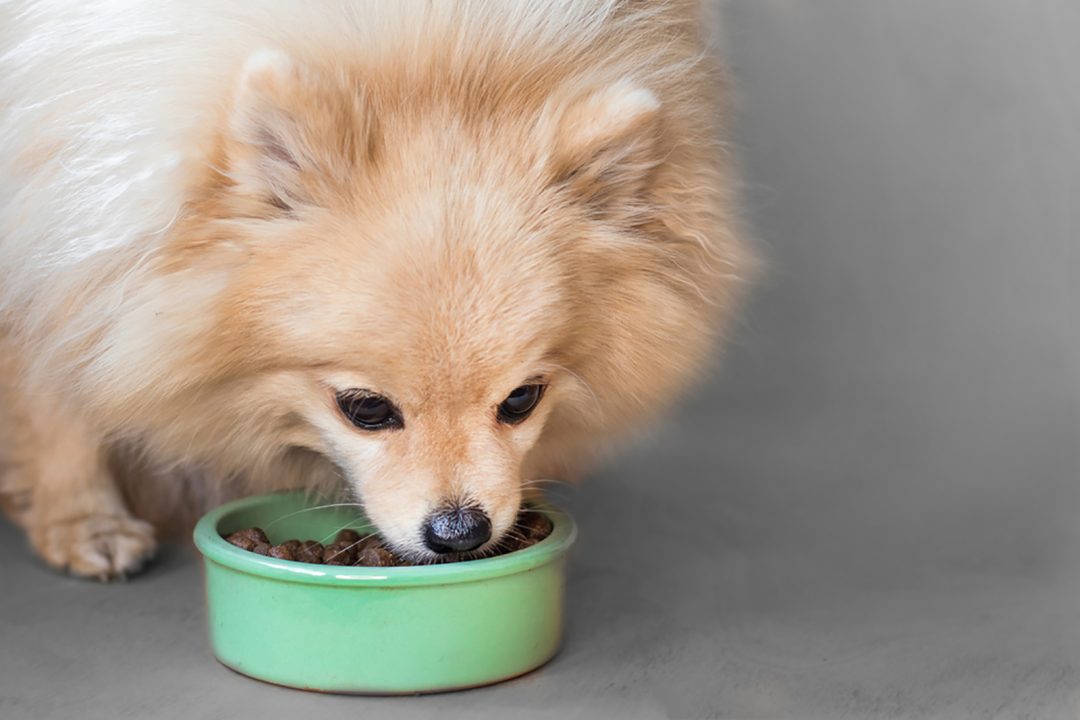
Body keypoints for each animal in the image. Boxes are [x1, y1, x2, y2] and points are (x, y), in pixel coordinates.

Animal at [0, 0, 751, 578]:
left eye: (522, 401)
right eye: (365, 410)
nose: (459, 531)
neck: (439, 57)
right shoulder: (48, 216)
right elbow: (51, 389)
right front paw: (84, 519)